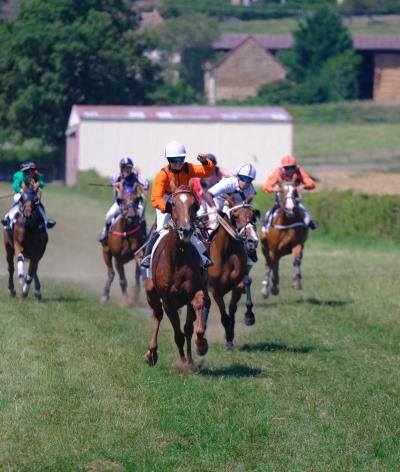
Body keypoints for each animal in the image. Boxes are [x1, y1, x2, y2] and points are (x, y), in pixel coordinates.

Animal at [145, 184, 211, 368]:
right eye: (173, 204)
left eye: (194, 204)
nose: (185, 230)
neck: (178, 258)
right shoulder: (168, 301)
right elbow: (178, 334)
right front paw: (182, 364)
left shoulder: (195, 291)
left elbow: (193, 325)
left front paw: (200, 346)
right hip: (151, 292)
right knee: (157, 315)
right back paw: (151, 352)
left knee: (188, 327)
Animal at [206, 198, 260, 350]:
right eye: (235, 216)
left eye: (254, 216)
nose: (252, 241)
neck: (226, 252)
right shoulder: (216, 291)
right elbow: (224, 316)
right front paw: (228, 340)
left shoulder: (237, 286)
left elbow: (232, 312)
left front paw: (248, 317)